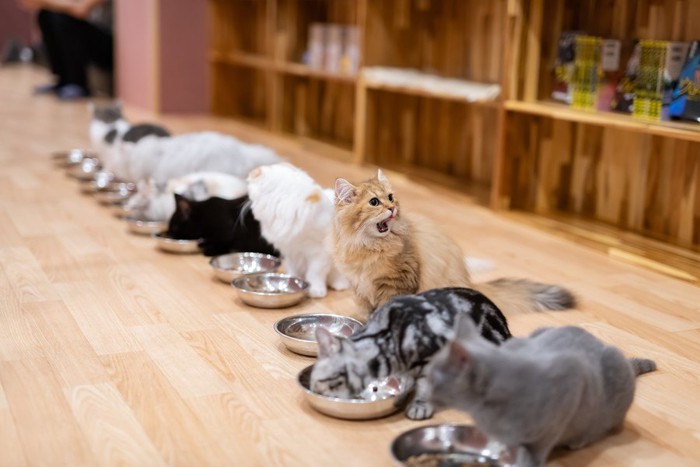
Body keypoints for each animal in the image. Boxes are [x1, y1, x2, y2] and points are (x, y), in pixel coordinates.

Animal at [247, 163, 350, 298]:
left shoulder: (320, 252)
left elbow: (315, 273)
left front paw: (316, 291)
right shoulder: (290, 251)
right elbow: (293, 271)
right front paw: (292, 281)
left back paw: (339, 284)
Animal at [334, 170, 576, 316]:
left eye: (391, 197)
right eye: (374, 202)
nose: (392, 209)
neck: (367, 246)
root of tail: (471, 285)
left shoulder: (396, 284)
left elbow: (385, 310)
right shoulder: (360, 288)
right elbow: (364, 312)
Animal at [426, 318, 656, 467]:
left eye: (432, 377)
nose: (424, 391)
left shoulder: (572, 381)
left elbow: (542, 443)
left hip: (614, 367)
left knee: (603, 426)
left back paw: (579, 440)